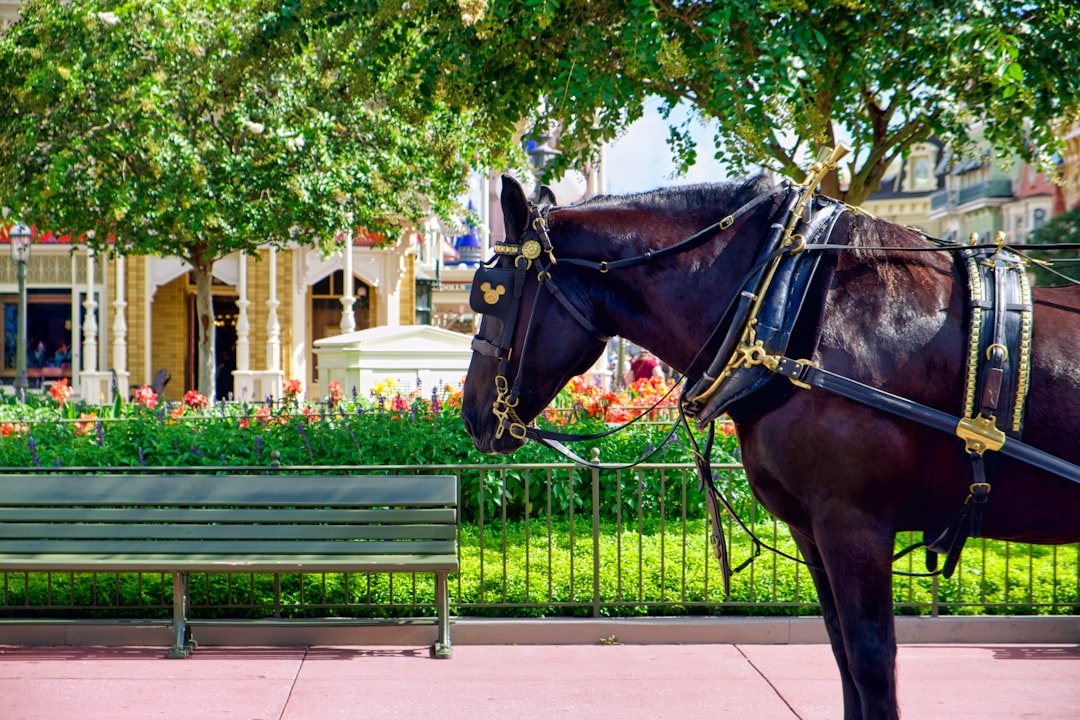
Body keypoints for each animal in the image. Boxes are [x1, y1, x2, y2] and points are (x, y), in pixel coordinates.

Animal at [460, 172, 1080, 720]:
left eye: (490, 297)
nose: (469, 414)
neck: (786, 309)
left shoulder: (854, 524)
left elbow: (872, 662)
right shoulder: (814, 529)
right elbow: (843, 658)